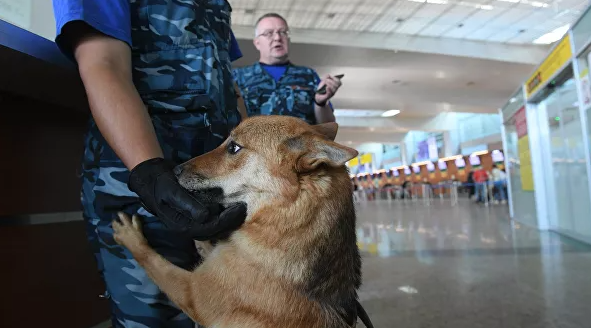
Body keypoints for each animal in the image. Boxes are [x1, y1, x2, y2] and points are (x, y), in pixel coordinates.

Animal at [114, 114, 372, 326]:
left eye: (234, 147)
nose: (175, 170)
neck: (282, 221)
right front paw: (201, 238)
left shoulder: (191, 293)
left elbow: (152, 260)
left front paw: (130, 236)